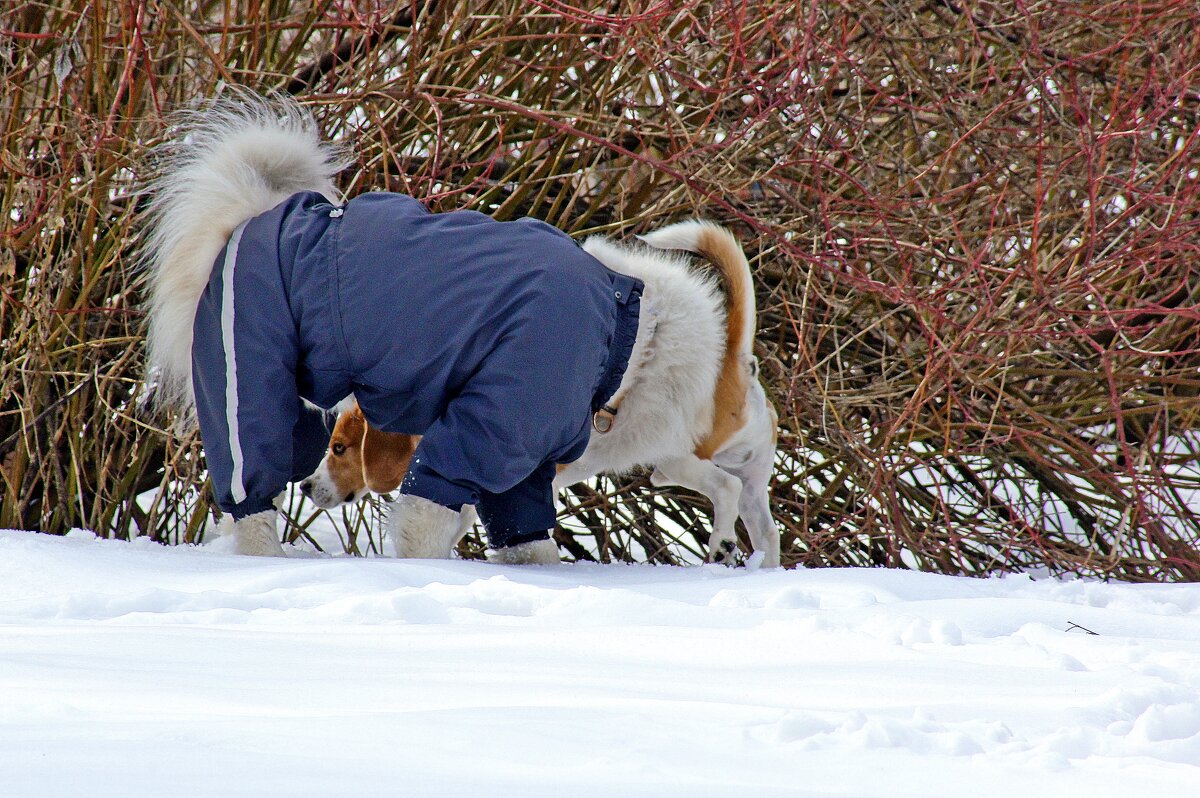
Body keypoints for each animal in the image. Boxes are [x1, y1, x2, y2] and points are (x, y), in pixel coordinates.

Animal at [304, 220, 782, 564]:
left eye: (340, 448)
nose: (307, 486)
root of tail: (736, 361)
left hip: (676, 457)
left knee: (724, 488)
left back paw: (721, 544)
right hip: (726, 472)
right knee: (762, 523)